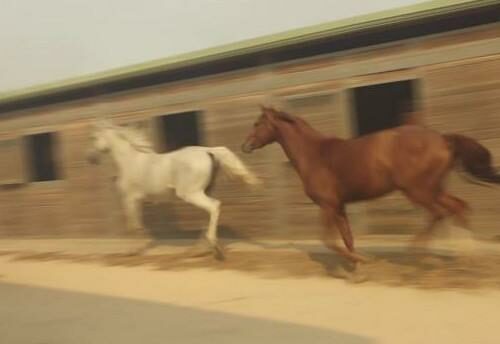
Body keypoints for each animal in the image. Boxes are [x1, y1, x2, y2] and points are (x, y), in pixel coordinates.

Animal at [87, 118, 260, 258]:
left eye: (94, 137)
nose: (90, 158)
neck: (129, 160)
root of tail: (208, 150)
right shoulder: (138, 199)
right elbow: (136, 223)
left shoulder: (130, 198)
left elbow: (132, 225)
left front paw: (133, 251)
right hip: (202, 192)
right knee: (209, 213)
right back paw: (197, 250)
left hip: (191, 194)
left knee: (214, 206)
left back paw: (214, 247)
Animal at [240, 106, 498, 264]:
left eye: (257, 123)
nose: (245, 145)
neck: (315, 155)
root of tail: (443, 139)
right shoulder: (339, 206)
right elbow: (347, 239)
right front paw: (358, 270)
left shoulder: (327, 205)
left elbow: (329, 240)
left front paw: (362, 260)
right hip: (433, 189)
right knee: (458, 207)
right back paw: (465, 255)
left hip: (418, 190)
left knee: (439, 213)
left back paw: (419, 254)